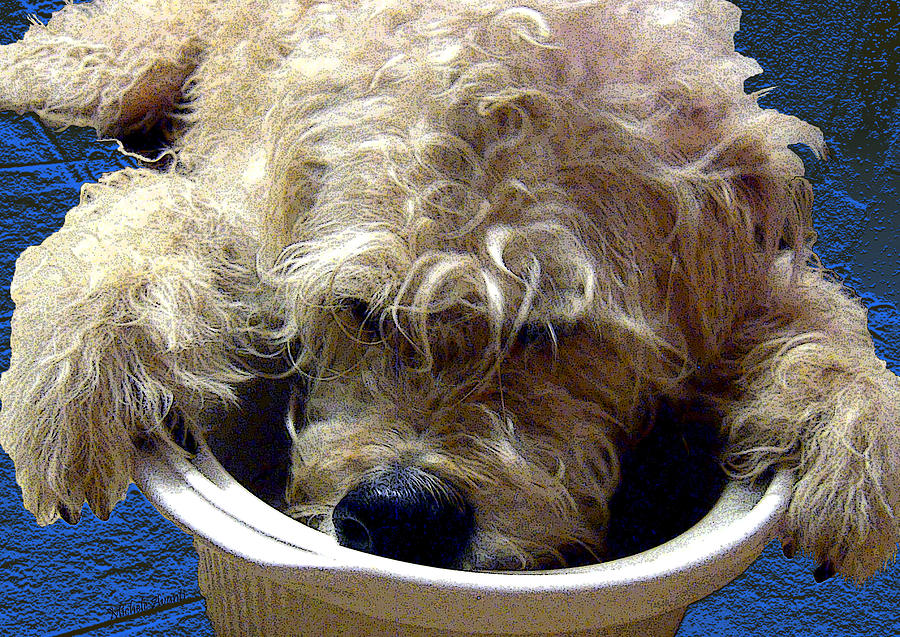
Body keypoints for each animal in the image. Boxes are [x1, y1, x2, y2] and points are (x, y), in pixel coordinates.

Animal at [0, 0, 896, 580]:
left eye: (550, 329)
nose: (402, 511)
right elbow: (144, 222)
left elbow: (822, 319)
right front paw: (74, 384)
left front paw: (852, 443)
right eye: (359, 310)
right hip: (127, 63)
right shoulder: (252, 204)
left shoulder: (741, 269)